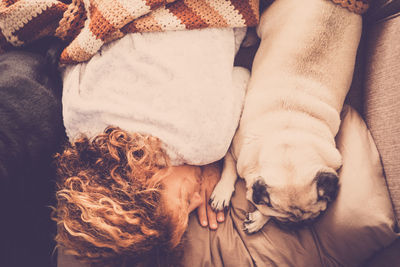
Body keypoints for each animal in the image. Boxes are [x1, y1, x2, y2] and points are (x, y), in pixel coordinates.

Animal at [209, 0, 362, 233]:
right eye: (285, 221)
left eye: (314, 216)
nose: (296, 227)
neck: (287, 135)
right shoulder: (234, 148)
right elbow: (229, 169)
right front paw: (223, 192)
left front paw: (259, 220)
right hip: (268, 19)